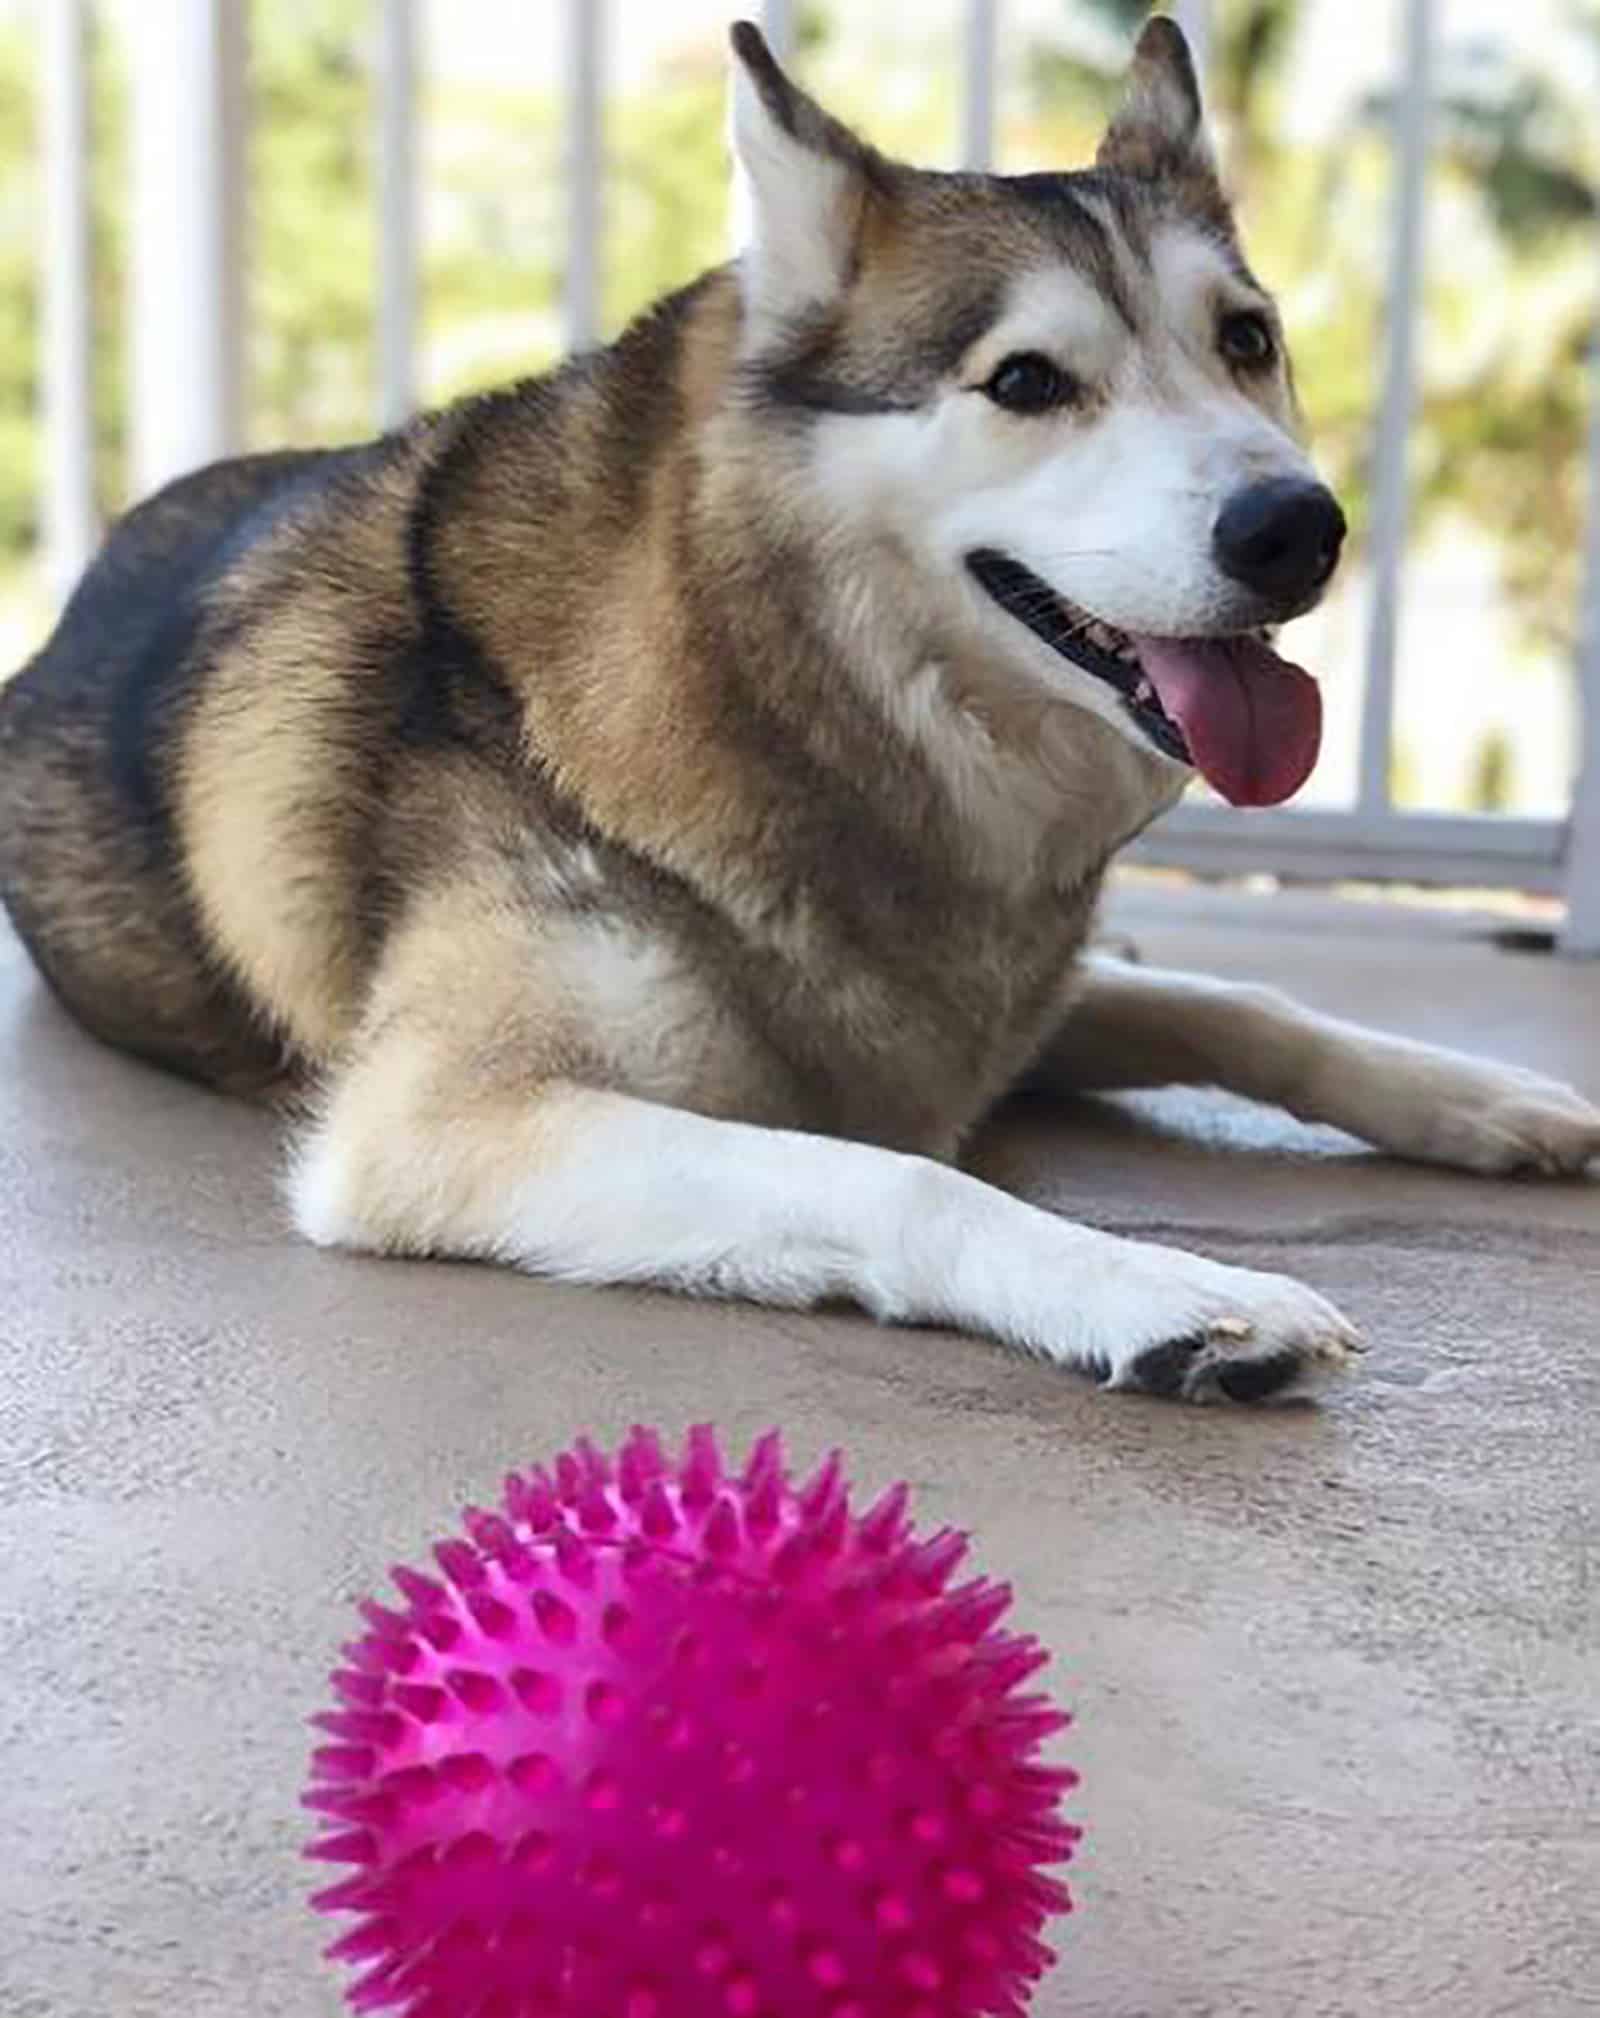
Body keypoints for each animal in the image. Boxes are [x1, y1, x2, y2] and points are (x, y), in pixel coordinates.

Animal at [3, 19, 1597, 1404]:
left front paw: (1491, 1100)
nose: (1299, 528)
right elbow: (901, 1175)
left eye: (1247, 341)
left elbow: (1246, 1005)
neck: (773, 694)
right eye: (1028, 381)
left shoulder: (977, 1008)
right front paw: (1160, 1292)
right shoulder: (445, 1120)